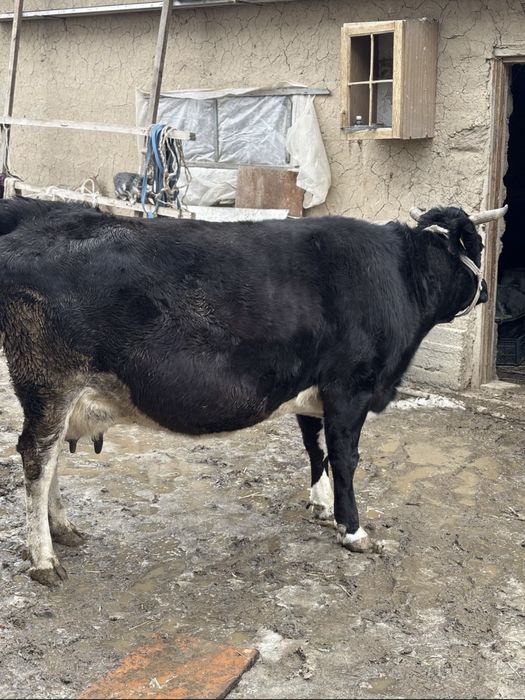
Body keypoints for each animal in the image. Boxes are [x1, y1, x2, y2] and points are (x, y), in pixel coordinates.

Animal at [0, 196, 506, 586]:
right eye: (478, 247)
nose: (487, 293)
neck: (401, 276)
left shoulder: (313, 388)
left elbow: (314, 447)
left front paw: (320, 503)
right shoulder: (351, 387)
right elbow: (344, 457)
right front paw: (353, 530)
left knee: (50, 459)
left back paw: (64, 529)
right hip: (50, 382)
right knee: (36, 457)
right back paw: (44, 558)